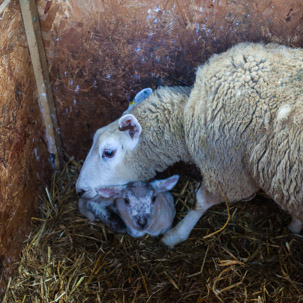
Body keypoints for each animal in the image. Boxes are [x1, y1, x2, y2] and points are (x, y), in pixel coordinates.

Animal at [77, 42, 303, 248]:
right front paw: (296, 224)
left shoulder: (227, 170)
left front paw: (175, 234)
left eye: (108, 152)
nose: (79, 190)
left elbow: (200, 202)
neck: (185, 118)